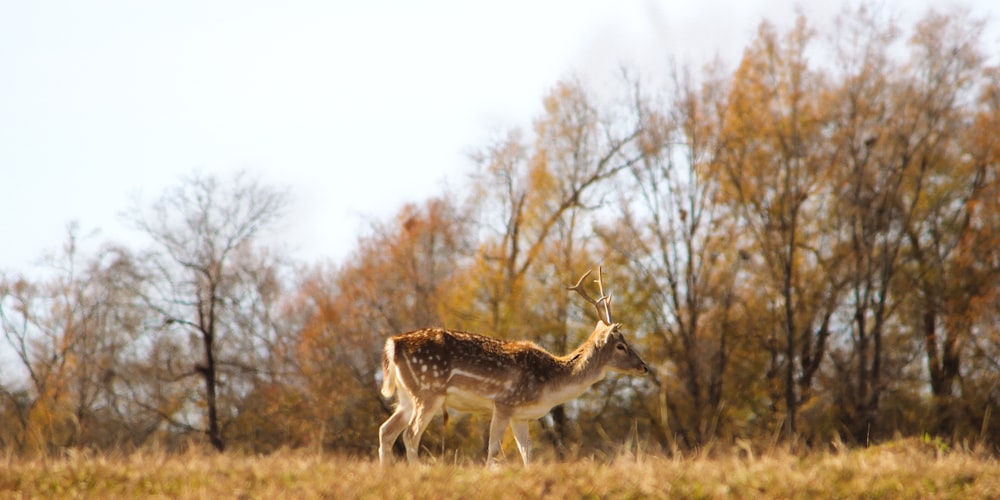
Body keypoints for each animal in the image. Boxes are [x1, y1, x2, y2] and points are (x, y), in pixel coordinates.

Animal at [376, 268, 648, 466]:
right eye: (621, 346)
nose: (644, 367)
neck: (549, 385)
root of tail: (393, 344)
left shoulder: (521, 415)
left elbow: (527, 453)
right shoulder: (505, 402)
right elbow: (493, 450)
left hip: (407, 396)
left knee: (386, 431)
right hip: (428, 391)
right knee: (410, 434)